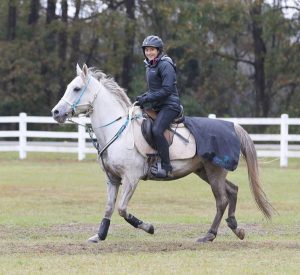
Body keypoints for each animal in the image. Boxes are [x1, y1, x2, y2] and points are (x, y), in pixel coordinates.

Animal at [51, 64, 274, 244]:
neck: (117, 131)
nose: (56, 112)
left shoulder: (131, 178)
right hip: (204, 171)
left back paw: (209, 235)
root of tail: (233, 126)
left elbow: (122, 209)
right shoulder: (112, 179)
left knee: (222, 200)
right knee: (233, 190)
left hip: (214, 172)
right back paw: (235, 227)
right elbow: (108, 207)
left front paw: (148, 227)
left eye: (76, 88)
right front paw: (99, 235)